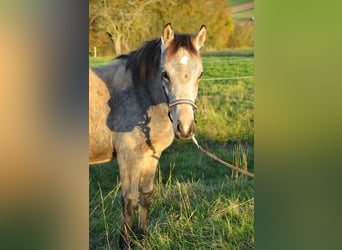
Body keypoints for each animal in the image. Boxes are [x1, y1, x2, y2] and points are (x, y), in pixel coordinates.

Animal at [89, 23, 206, 248]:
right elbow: (129, 199)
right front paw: (125, 243)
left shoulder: (151, 155)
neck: (138, 95)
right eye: (165, 74)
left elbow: (146, 194)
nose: (185, 128)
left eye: (200, 74)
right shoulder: (129, 157)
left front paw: (142, 236)